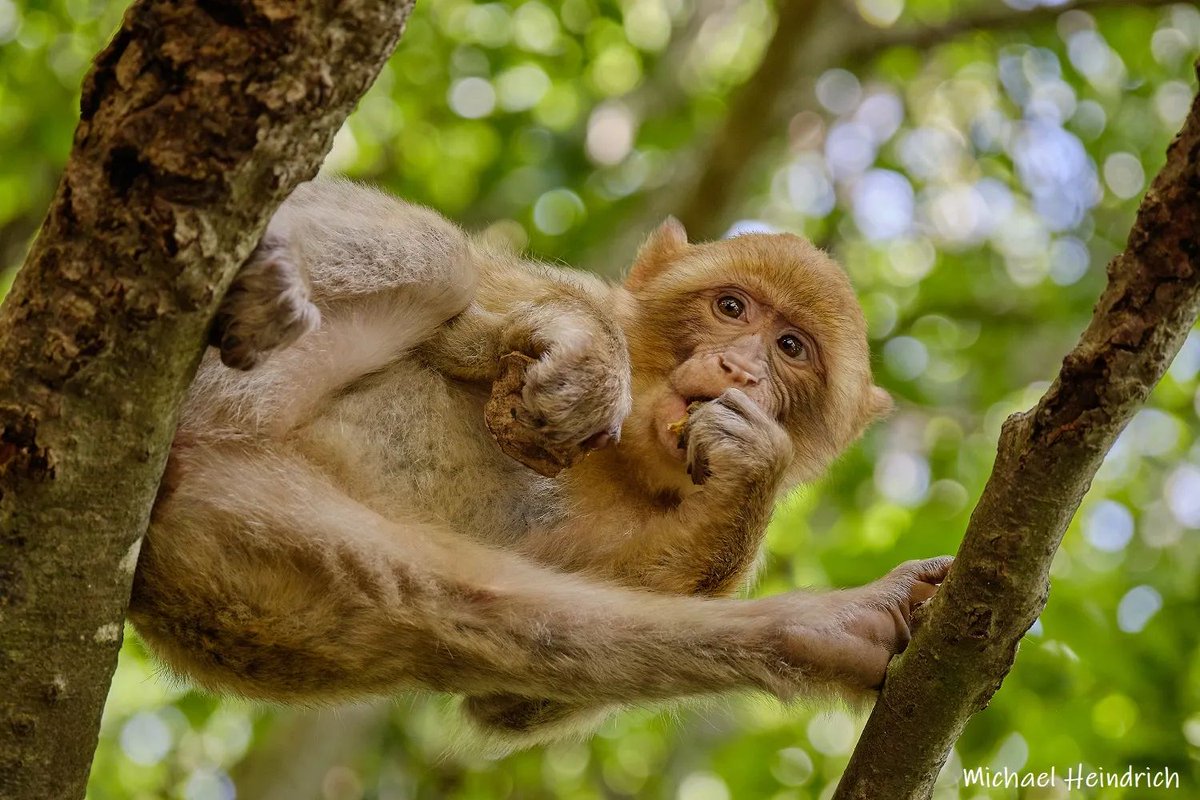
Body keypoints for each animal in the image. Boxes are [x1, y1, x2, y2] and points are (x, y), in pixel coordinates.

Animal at [128, 179, 952, 747]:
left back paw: (837, 631)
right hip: (234, 381)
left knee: (479, 610)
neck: (625, 458)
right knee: (440, 262)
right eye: (730, 308)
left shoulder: (712, 571)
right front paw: (582, 358)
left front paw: (755, 468)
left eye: (790, 348)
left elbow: (512, 705)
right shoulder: (548, 288)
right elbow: (498, 314)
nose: (741, 369)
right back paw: (266, 284)